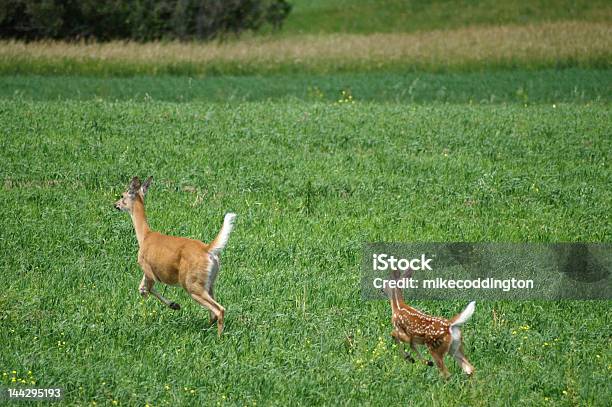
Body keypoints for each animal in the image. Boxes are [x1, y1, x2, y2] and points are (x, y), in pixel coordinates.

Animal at [115, 177, 237, 336]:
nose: (115, 205)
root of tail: (207, 249)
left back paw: (218, 337)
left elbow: (146, 289)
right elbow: (142, 288)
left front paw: (174, 305)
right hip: (209, 283)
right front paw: (174, 304)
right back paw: (206, 329)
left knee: (219, 309)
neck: (145, 235)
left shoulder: (147, 266)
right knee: (213, 312)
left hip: (192, 283)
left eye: (122, 195)